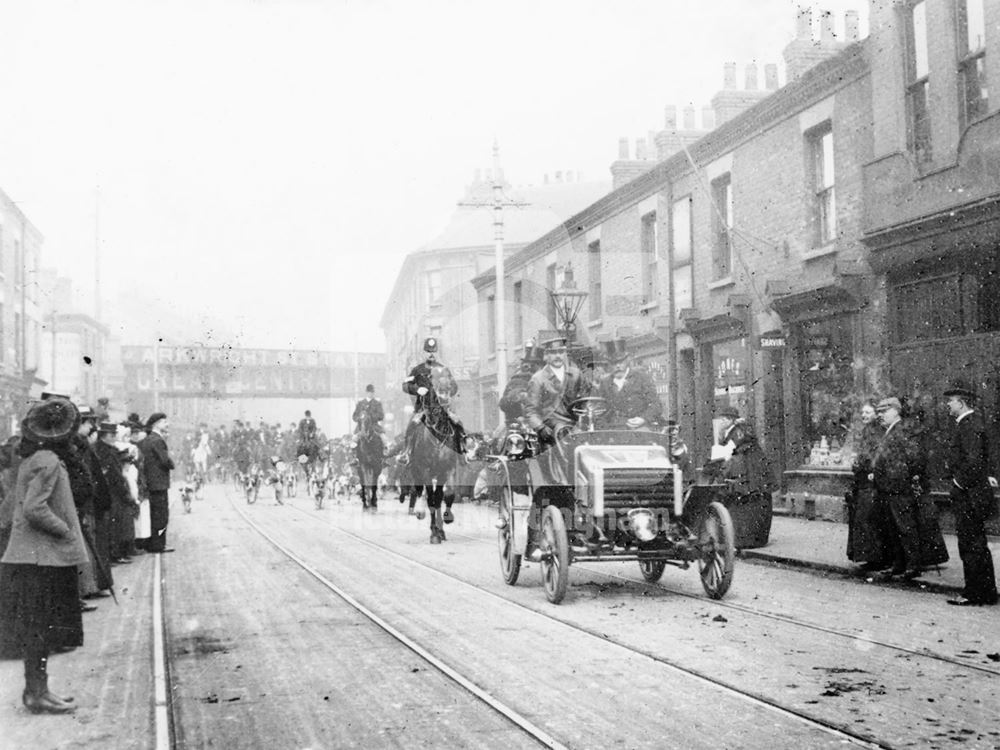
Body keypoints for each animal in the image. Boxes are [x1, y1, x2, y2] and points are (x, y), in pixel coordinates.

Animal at [406, 370, 464, 548]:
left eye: (446, 386)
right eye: (421, 388)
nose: (433, 414)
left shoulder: (447, 470)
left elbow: (445, 495)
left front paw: (445, 521)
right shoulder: (424, 470)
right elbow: (431, 499)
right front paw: (433, 534)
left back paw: (441, 529)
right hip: (417, 470)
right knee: (419, 492)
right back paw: (420, 513)